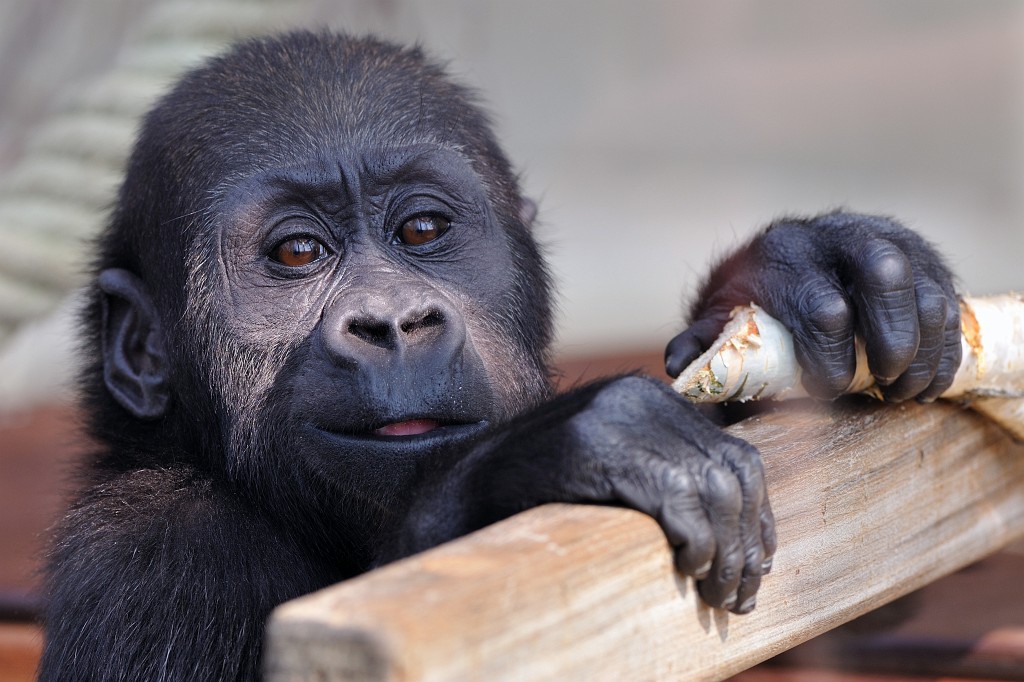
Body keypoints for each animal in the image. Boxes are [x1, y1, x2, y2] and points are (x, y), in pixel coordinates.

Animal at [39, 30, 962, 675]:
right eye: (297, 253)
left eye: (421, 230)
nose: (393, 321)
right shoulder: (159, 558)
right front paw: (547, 456)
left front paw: (791, 270)